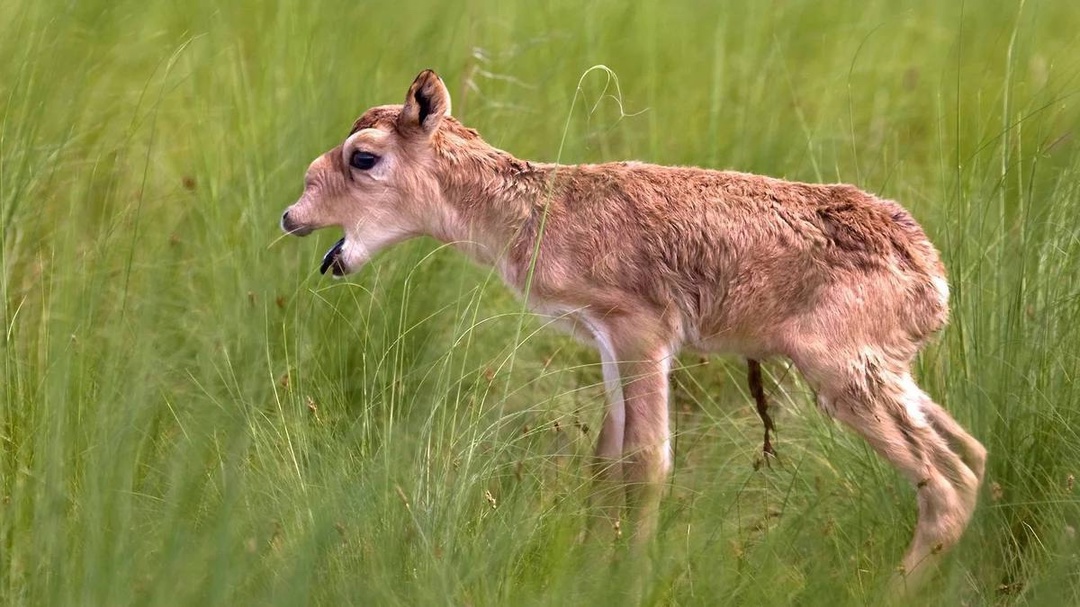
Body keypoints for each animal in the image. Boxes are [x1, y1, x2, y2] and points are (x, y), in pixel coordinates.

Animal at [280, 68, 989, 583]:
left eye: (363, 158)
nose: (291, 215)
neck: (536, 214)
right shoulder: (606, 345)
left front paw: (631, 580)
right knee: (973, 455)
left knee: (946, 487)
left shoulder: (644, 336)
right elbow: (606, 462)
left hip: (841, 377)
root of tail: (931, 275)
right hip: (889, 375)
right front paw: (592, 568)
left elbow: (648, 464)